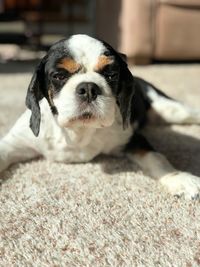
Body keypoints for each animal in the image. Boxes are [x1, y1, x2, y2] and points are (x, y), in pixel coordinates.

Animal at [0, 34, 200, 200]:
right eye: (59, 75)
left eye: (111, 74)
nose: (88, 88)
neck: (78, 132)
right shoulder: (16, 141)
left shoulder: (132, 138)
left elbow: (156, 158)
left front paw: (180, 179)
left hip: (172, 110)